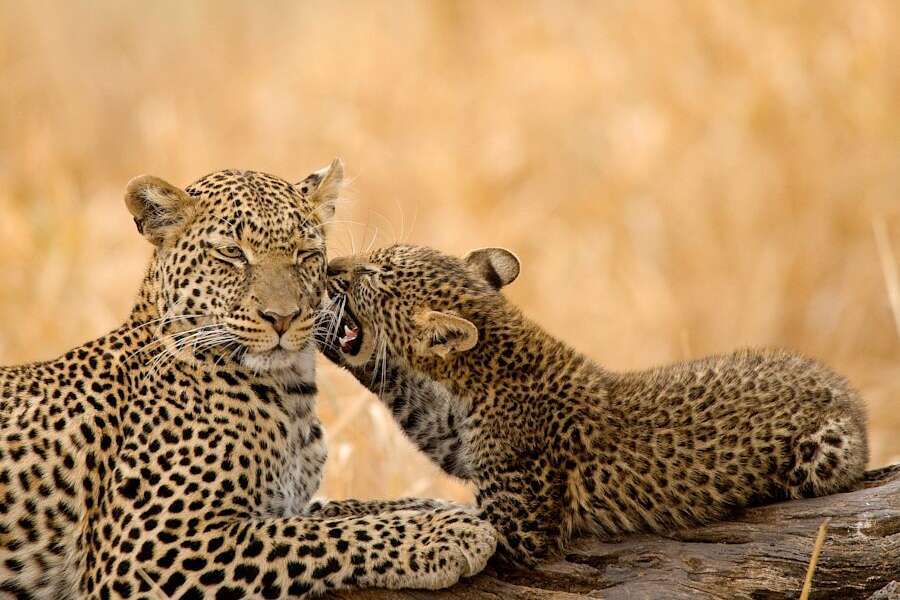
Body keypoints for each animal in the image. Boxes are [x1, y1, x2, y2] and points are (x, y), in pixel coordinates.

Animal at [0, 169, 497, 600]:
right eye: (232, 254)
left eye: (305, 254)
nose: (282, 317)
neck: (289, 393)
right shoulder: (145, 552)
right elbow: (317, 534)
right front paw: (447, 533)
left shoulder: (284, 501)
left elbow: (345, 507)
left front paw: (445, 510)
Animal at [321, 243, 868, 565]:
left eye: (372, 273)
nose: (331, 268)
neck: (487, 372)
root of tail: (848, 392)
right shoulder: (454, 437)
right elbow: (423, 477)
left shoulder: (519, 526)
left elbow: (433, 509)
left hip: (823, 452)